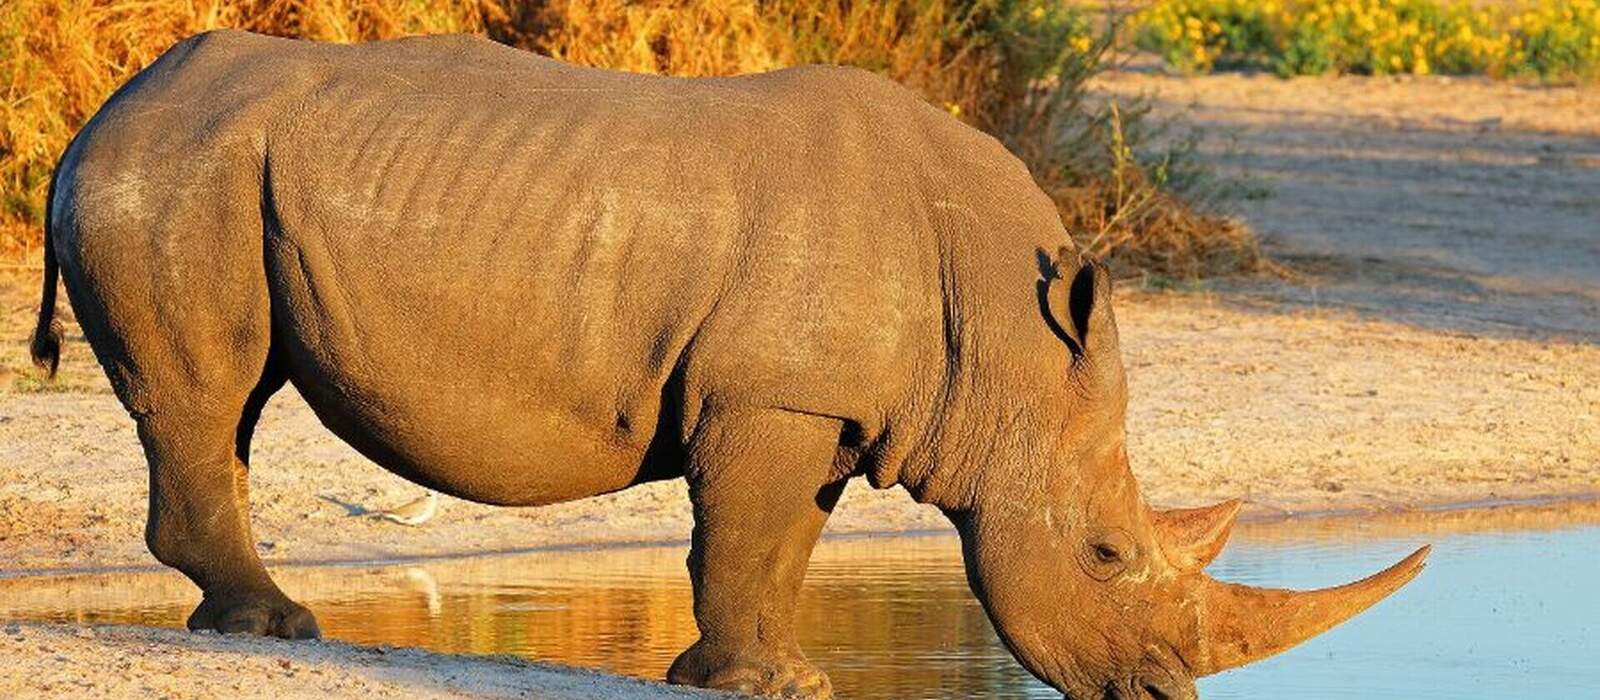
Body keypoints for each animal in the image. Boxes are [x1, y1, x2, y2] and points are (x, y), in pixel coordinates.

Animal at [29, 30, 1427, 699]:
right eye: (1102, 553)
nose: (1154, 696)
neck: (1002, 338)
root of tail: (100, 114)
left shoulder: (827, 411)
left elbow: (779, 544)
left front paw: (781, 678)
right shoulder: (770, 394)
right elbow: (741, 536)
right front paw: (758, 684)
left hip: (205, 164)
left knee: (233, 399)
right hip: (177, 168)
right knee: (210, 390)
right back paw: (273, 626)